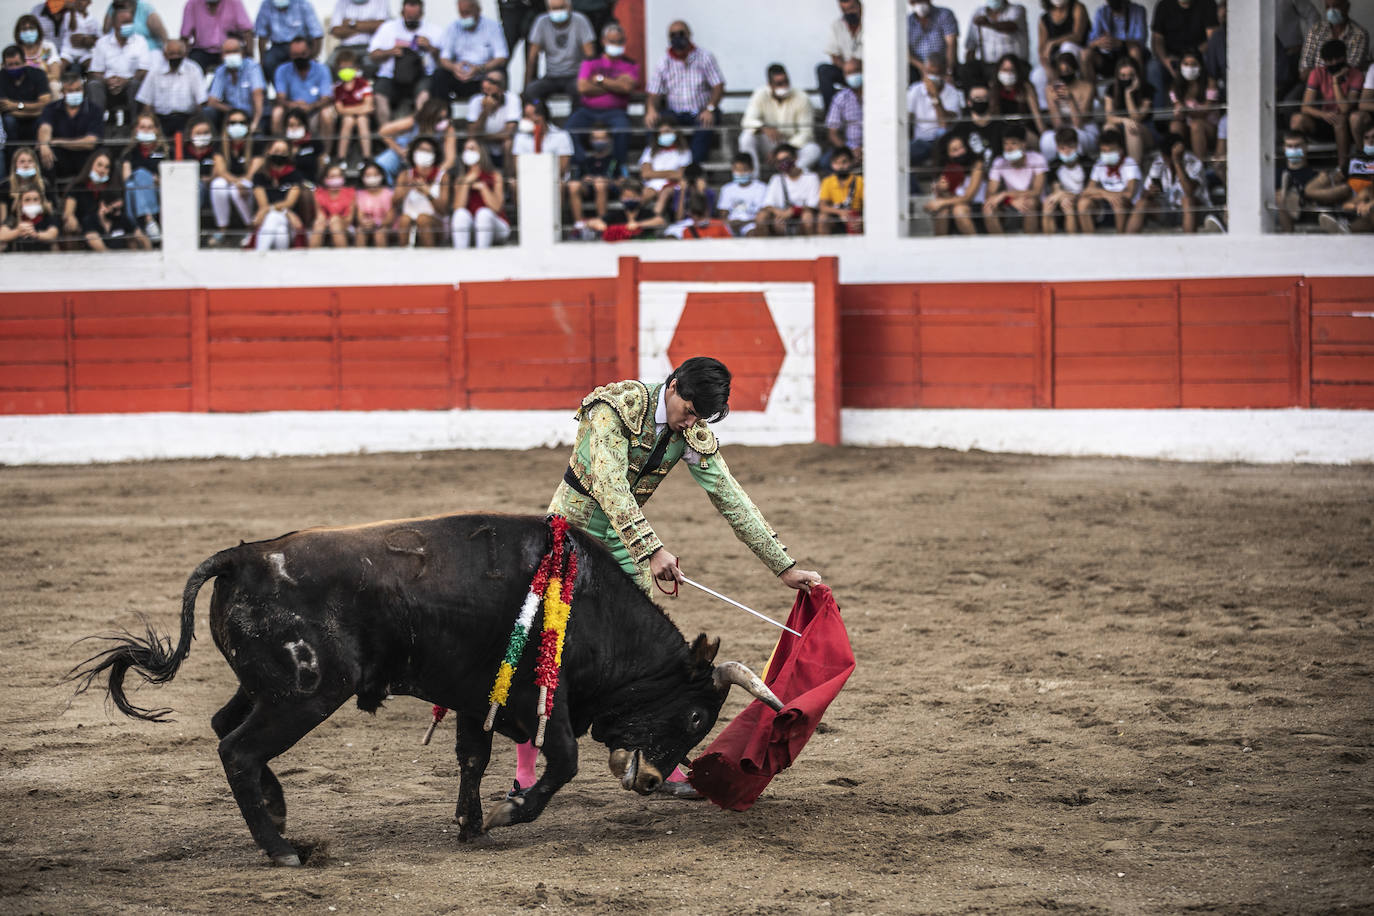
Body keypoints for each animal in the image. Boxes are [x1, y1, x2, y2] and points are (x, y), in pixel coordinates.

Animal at [72, 516, 785, 867]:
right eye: (695, 716)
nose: (654, 780)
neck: (593, 608)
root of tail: (241, 556)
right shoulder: (544, 702)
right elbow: (561, 763)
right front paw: (508, 812)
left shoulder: (476, 696)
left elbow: (472, 757)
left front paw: (471, 824)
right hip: (305, 693)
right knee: (239, 751)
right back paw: (283, 849)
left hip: (267, 687)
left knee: (227, 729)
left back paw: (279, 815)